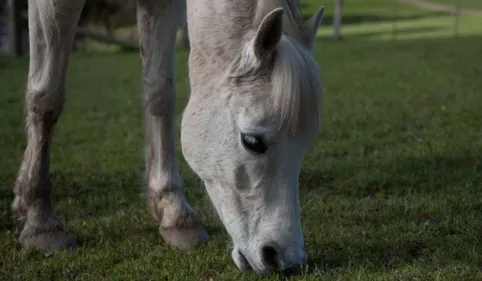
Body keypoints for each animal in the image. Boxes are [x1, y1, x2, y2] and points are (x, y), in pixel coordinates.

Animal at [12, 0, 324, 274]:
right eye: (253, 142)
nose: (285, 258)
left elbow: (159, 93)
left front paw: (174, 212)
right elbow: (47, 96)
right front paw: (41, 222)